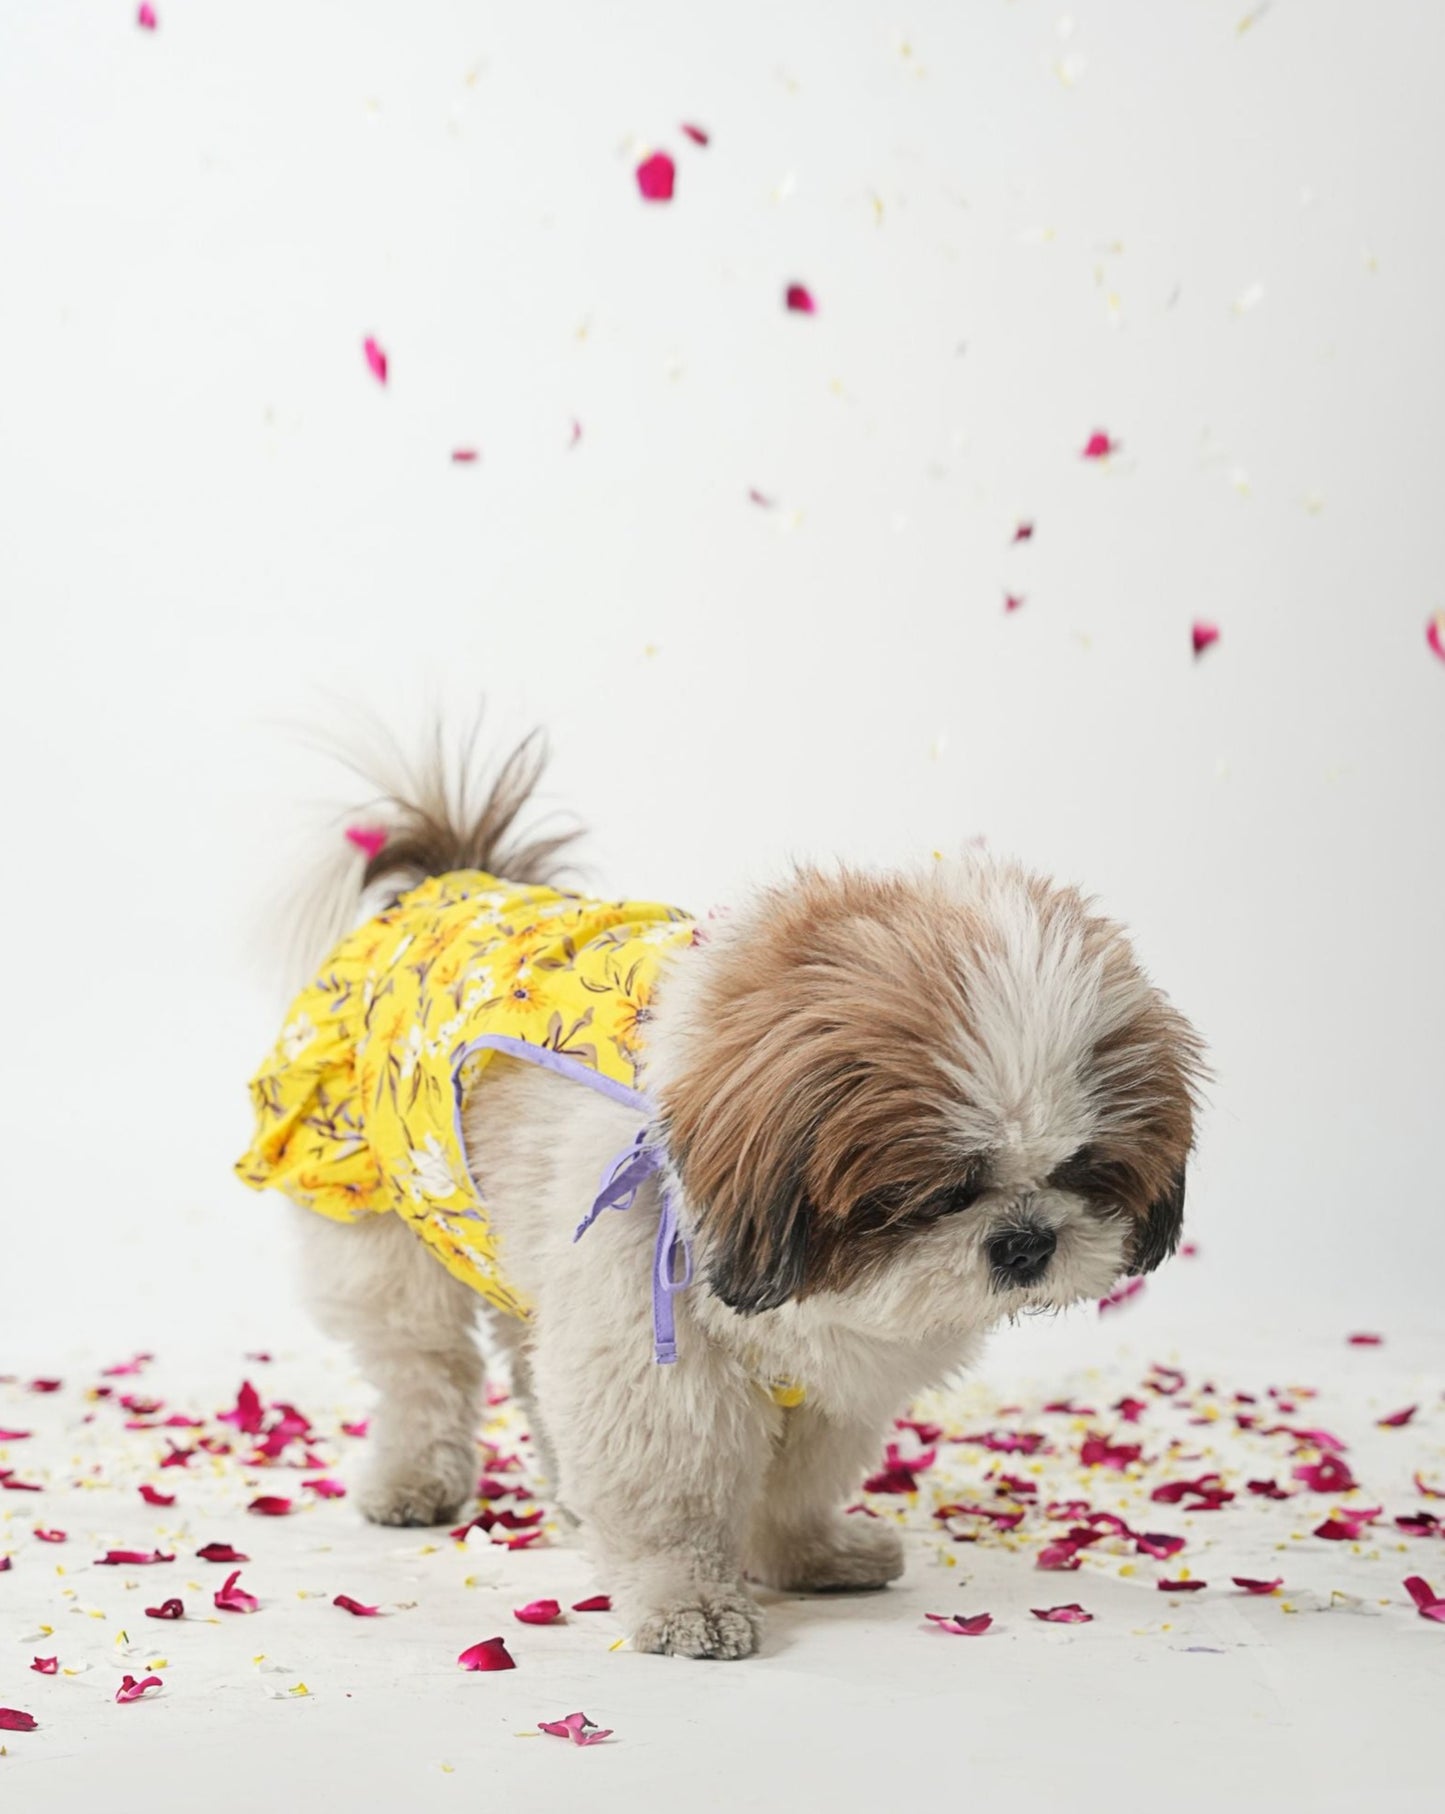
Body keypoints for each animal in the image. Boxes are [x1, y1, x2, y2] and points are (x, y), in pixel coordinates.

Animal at [239, 732, 1203, 1661]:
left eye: (1086, 1171)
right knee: (424, 1371)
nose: (1026, 1239)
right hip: (380, 1226)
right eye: (930, 1194)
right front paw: (687, 1601)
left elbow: (797, 1484)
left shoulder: (832, 1382)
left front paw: (810, 1556)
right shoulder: (648, 1353)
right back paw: (415, 1481)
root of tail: (455, 881)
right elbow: (669, 1497)